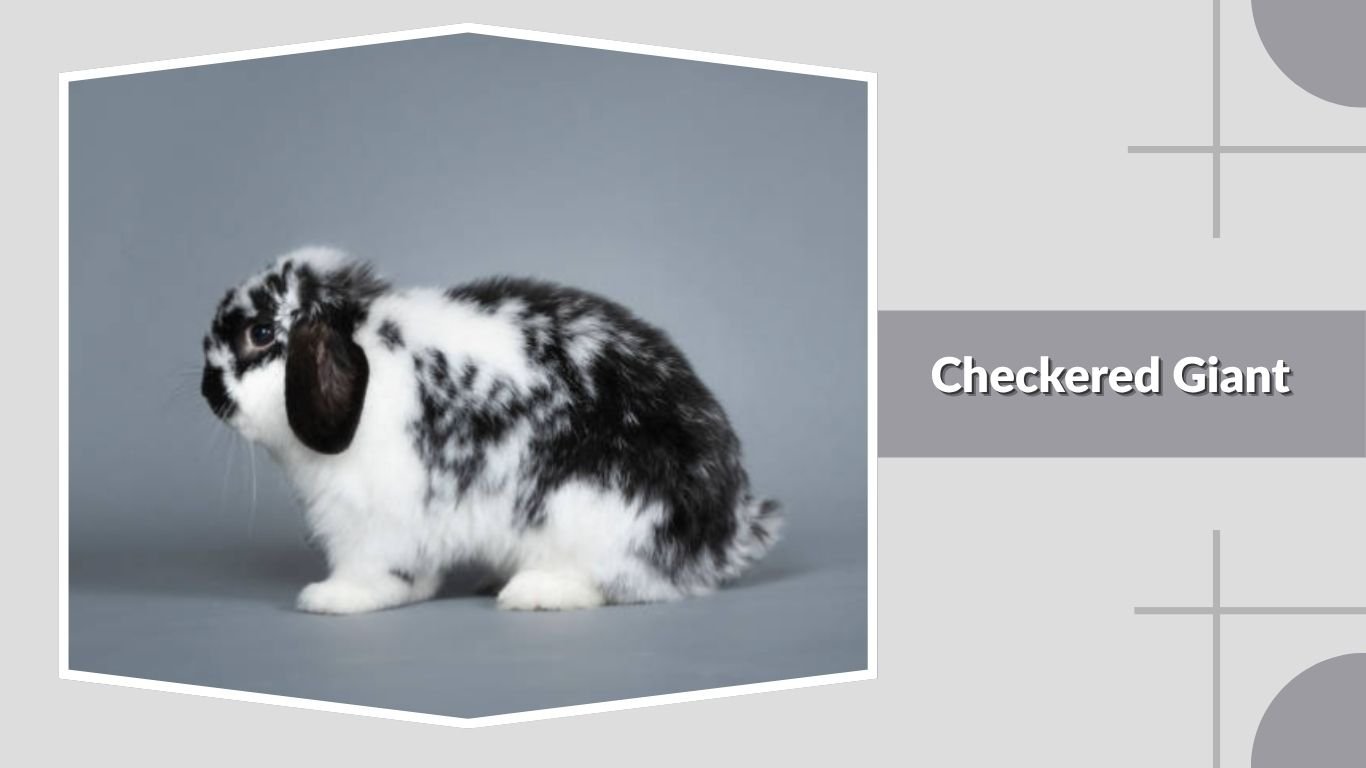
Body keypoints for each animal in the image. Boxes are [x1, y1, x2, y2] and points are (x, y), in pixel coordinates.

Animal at [200, 247, 782, 614]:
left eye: (260, 333)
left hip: (591, 512)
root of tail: (727, 529)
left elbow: (374, 572)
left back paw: (534, 592)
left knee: (617, 582)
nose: (208, 392)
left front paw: (330, 599)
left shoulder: (371, 523)